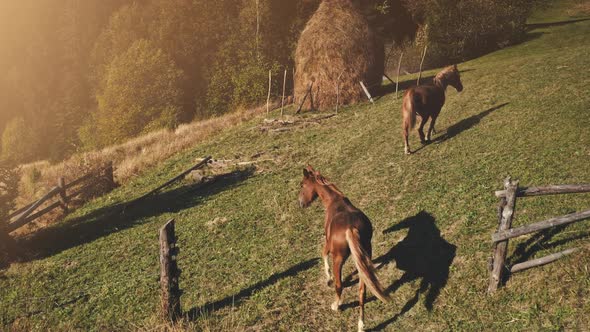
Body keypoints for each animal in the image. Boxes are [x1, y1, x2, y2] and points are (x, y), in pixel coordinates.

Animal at [298, 166, 390, 332]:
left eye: (302, 184)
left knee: (339, 285)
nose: (300, 203)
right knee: (362, 291)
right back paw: (361, 324)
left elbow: (323, 254)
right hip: (364, 256)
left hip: (339, 259)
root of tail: (351, 228)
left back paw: (336, 305)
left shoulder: (328, 244)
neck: (335, 201)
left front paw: (328, 278)